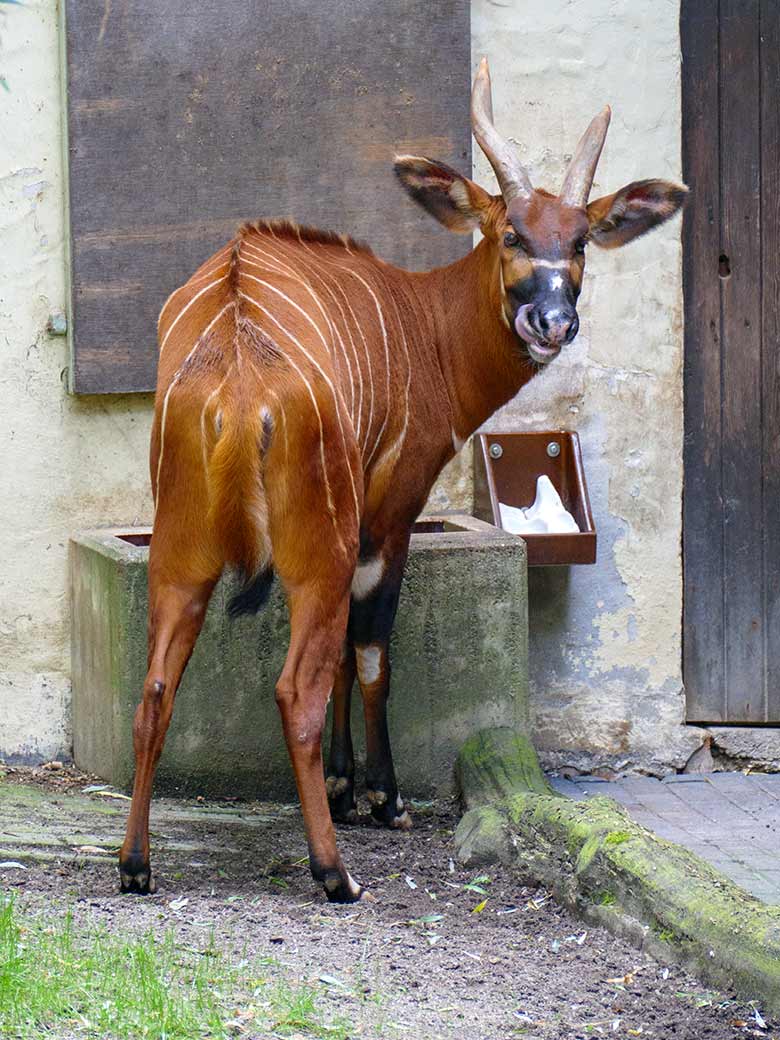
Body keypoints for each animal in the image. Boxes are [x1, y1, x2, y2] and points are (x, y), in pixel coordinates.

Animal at [119, 60, 686, 902]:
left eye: (581, 240)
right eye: (510, 234)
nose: (553, 322)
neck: (427, 328)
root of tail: (239, 381)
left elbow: (346, 659)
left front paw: (346, 789)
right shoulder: (389, 516)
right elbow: (371, 653)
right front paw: (381, 800)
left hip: (183, 552)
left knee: (157, 689)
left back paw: (136, 864)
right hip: (314, 544)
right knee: (294, 690)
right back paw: (336, 876)